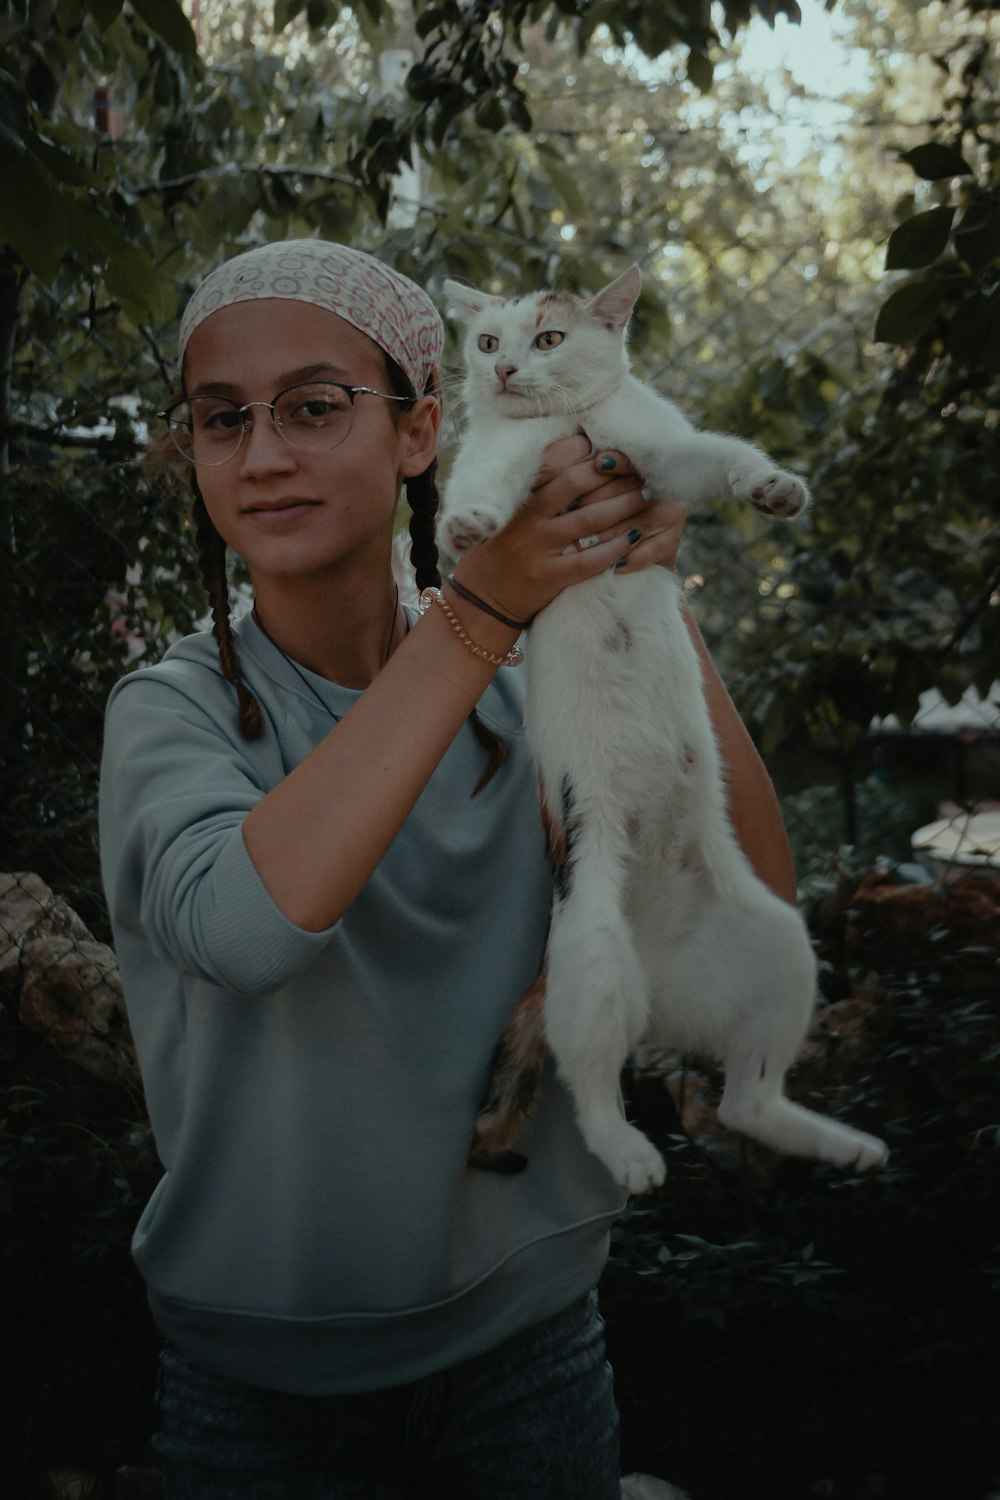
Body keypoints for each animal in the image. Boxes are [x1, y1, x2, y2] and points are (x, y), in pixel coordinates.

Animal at [440, 264, 887, 1188]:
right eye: (487, 340)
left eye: (548, 338)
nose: (502, 371)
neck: (570, 427)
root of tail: (662, 971)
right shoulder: (502, 458)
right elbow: (481, 490)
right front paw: (465, 528)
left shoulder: (659, 450)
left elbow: (719, 457)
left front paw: (776, 488)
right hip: (590, 954)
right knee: (591, 1087)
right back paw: (632, 1154)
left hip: (781, 940)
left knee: (745, 1100)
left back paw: (845, 1145)